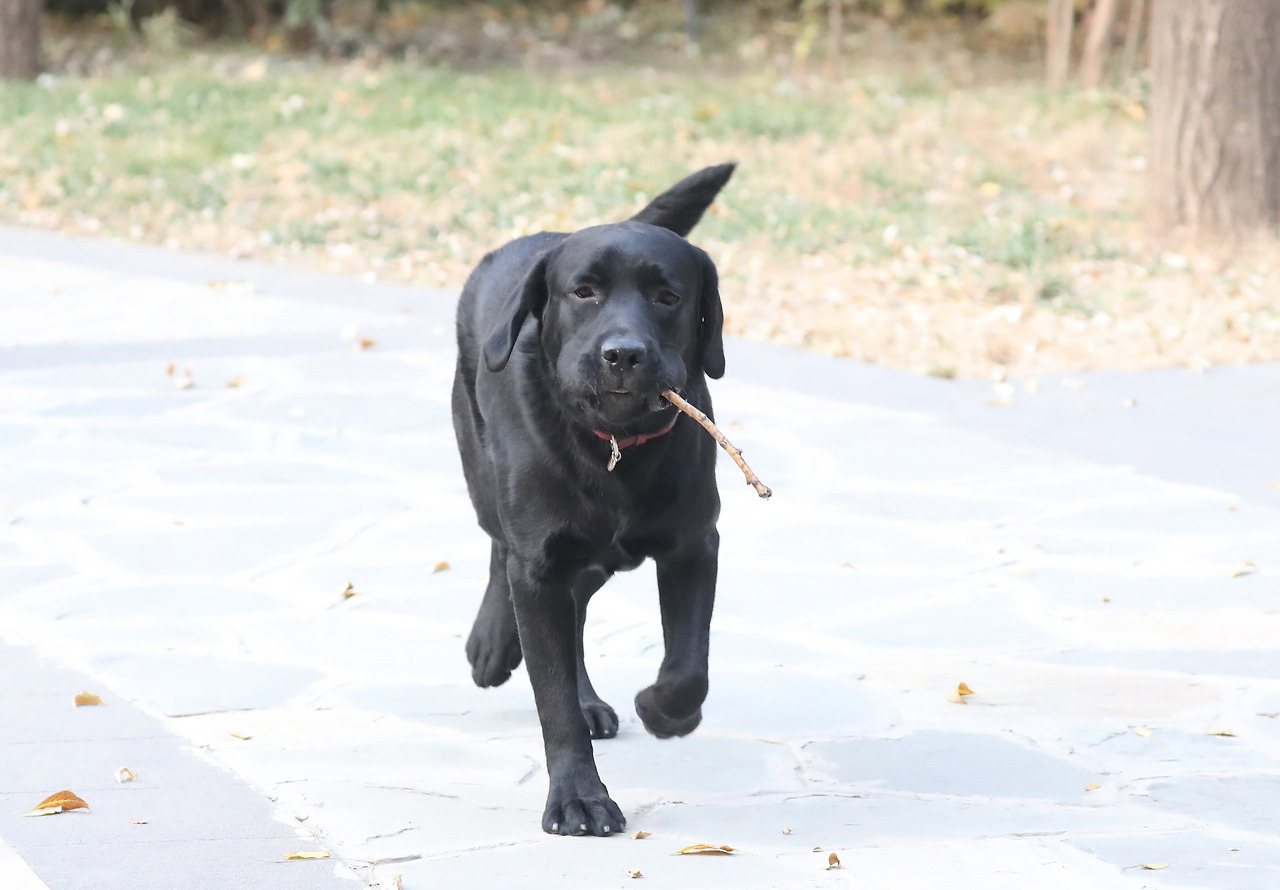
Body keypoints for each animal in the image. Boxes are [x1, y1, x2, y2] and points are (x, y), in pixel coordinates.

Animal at [450, 163, 737, 840]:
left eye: (668, 297)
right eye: (583, 292)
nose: (623, 354)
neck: (613, 444)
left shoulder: (695, 545)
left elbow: (689, 666)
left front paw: (663, 711)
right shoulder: (539, 563)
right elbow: (551, 697)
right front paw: (578, 798)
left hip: (599, 556)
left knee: (576, 610)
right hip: (484, 473)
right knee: (500, 548)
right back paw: (493, 643)